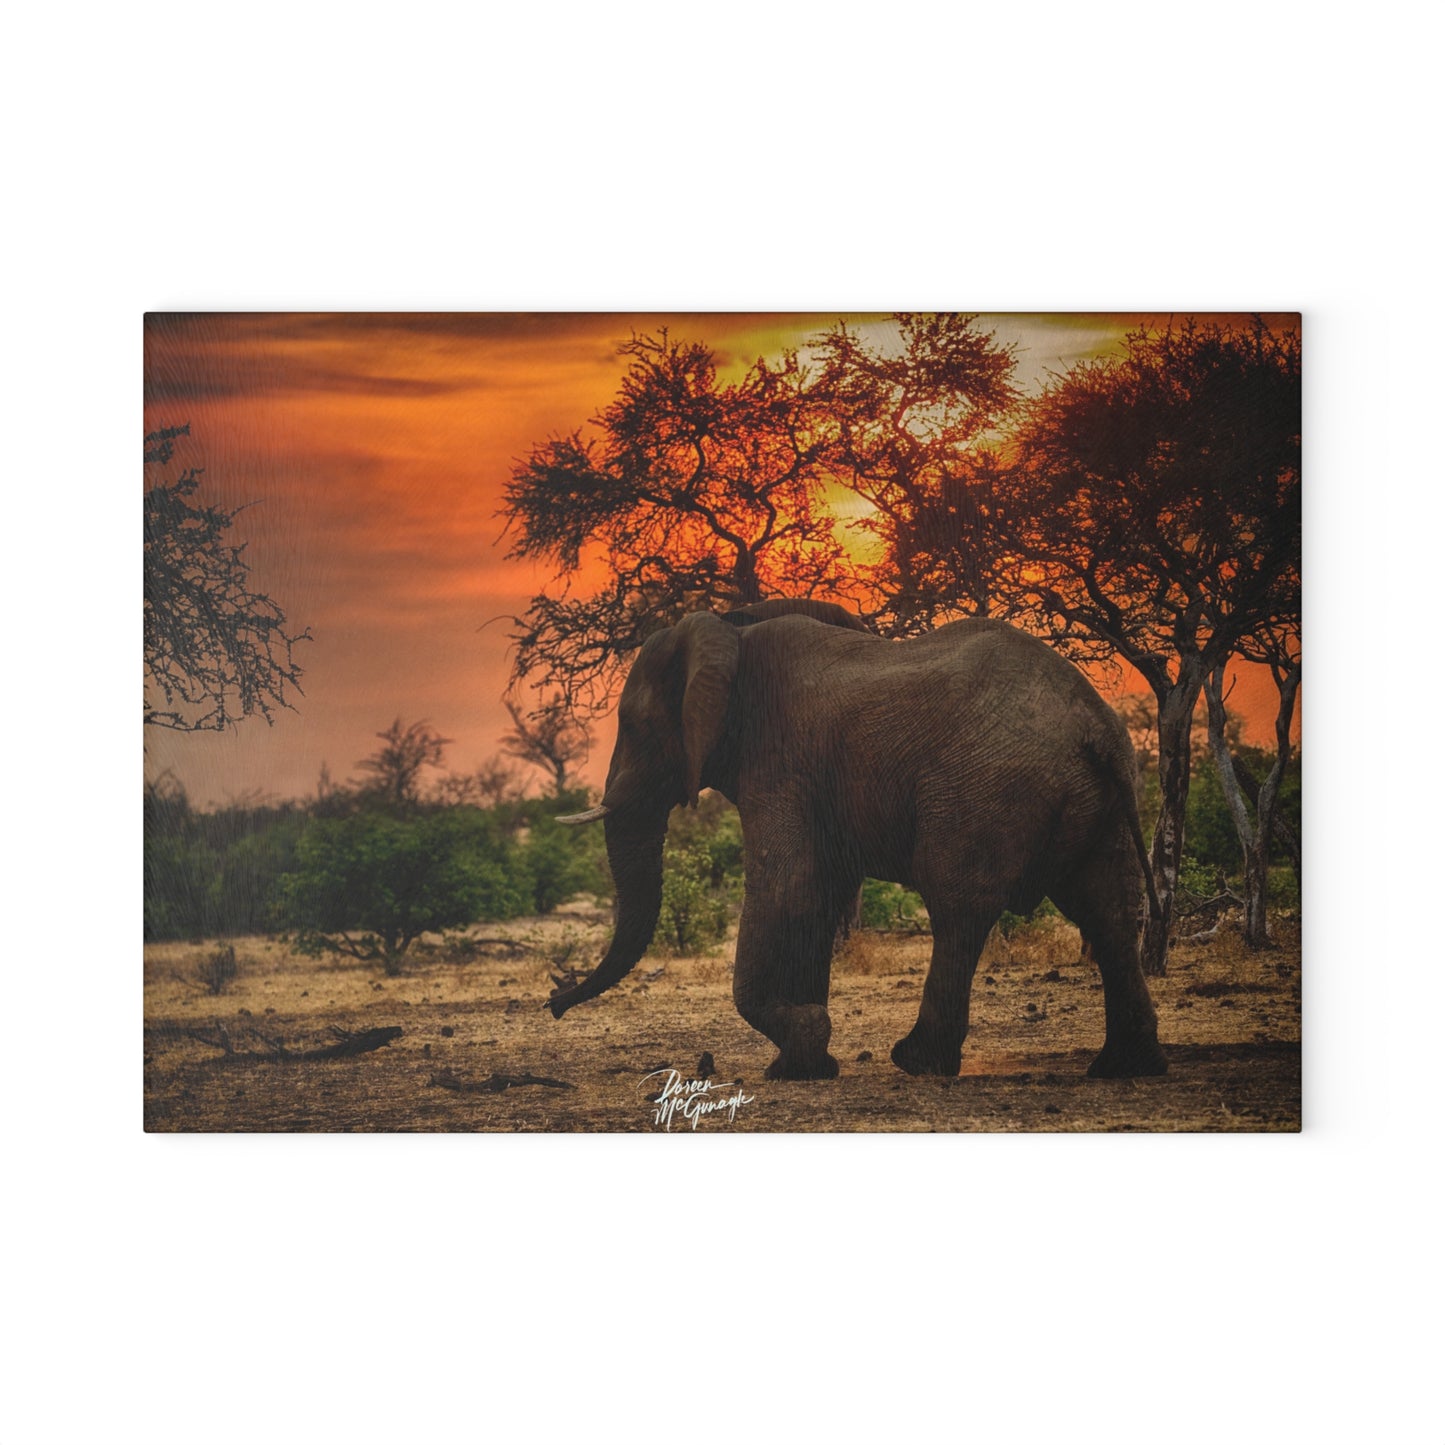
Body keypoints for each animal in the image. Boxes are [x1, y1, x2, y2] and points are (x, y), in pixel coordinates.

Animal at [550, 600, 1167, 1082]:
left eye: (634, 726)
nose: (554, 1004)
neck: (731, 631)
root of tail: (1096, 727)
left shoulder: (779, 760)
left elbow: (787, 886)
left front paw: (806, 1039)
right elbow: (819, 895)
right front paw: (802, 1065)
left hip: (987, 789)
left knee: (958, 907)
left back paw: (917, 1061)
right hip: (1102, 802)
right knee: (1109, 910)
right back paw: (1123, 1066)